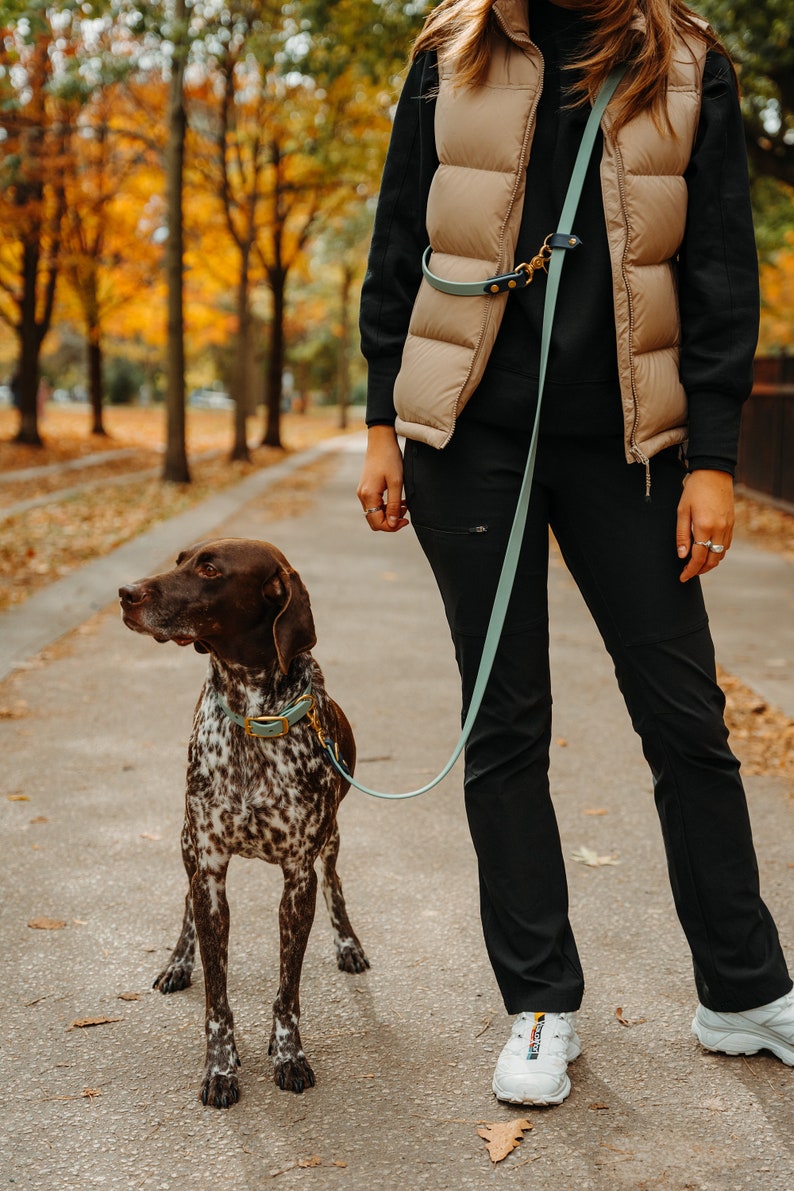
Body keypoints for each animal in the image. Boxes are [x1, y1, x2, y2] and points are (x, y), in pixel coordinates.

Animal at [119, 540, 369, 1105]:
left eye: (210, 569)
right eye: (180, 559)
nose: (125, 592)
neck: (253, 715)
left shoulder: (298, 880)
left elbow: (287, 992)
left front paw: (288, 1053)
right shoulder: (210, 870)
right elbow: (217, 996)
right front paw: (220, 1068)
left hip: (329, 841)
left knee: (336, 884)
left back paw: (348, 945)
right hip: (187, 846)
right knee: (186, 904)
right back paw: (178, 963)